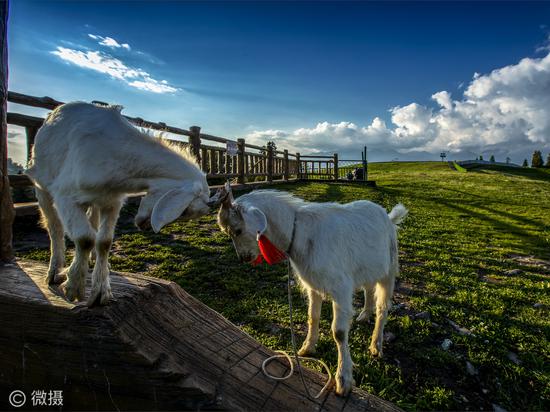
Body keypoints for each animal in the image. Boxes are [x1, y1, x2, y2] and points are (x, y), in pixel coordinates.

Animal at [28, 101, 217, 304]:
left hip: (96, 200)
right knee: (54, 227)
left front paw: (101, 291)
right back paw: (54, 271)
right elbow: (85, 239)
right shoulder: (65, 195)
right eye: (184, 211)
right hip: (42, 186)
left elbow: (104, 241)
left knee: (93, 221)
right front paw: (74, 287)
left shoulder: (112, 202)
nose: (145, 226)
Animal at [217, 185, 410, 398]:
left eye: (238, 230)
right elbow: (312, 316)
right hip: (367, 267)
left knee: (383, 306)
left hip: (389, 267)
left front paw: (343, 379)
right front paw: (306, 348)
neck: (299, 232)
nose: (243, 258)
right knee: (368, 288)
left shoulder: (341, 287)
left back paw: (376, 345)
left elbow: (339, 332)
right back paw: (364, 315)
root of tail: (387, 216)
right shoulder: (313, 285)